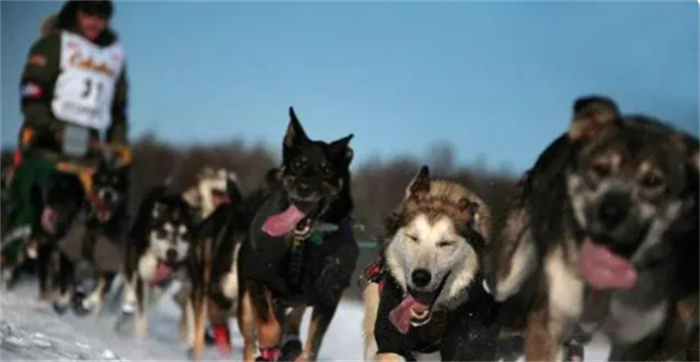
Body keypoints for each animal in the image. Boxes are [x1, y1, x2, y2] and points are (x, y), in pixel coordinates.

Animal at [486, 96, 700, 362]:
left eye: (653, 180)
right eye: (600, 169)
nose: (610, 212)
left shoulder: (635, 342)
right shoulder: (553, 320)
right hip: (507, 274)